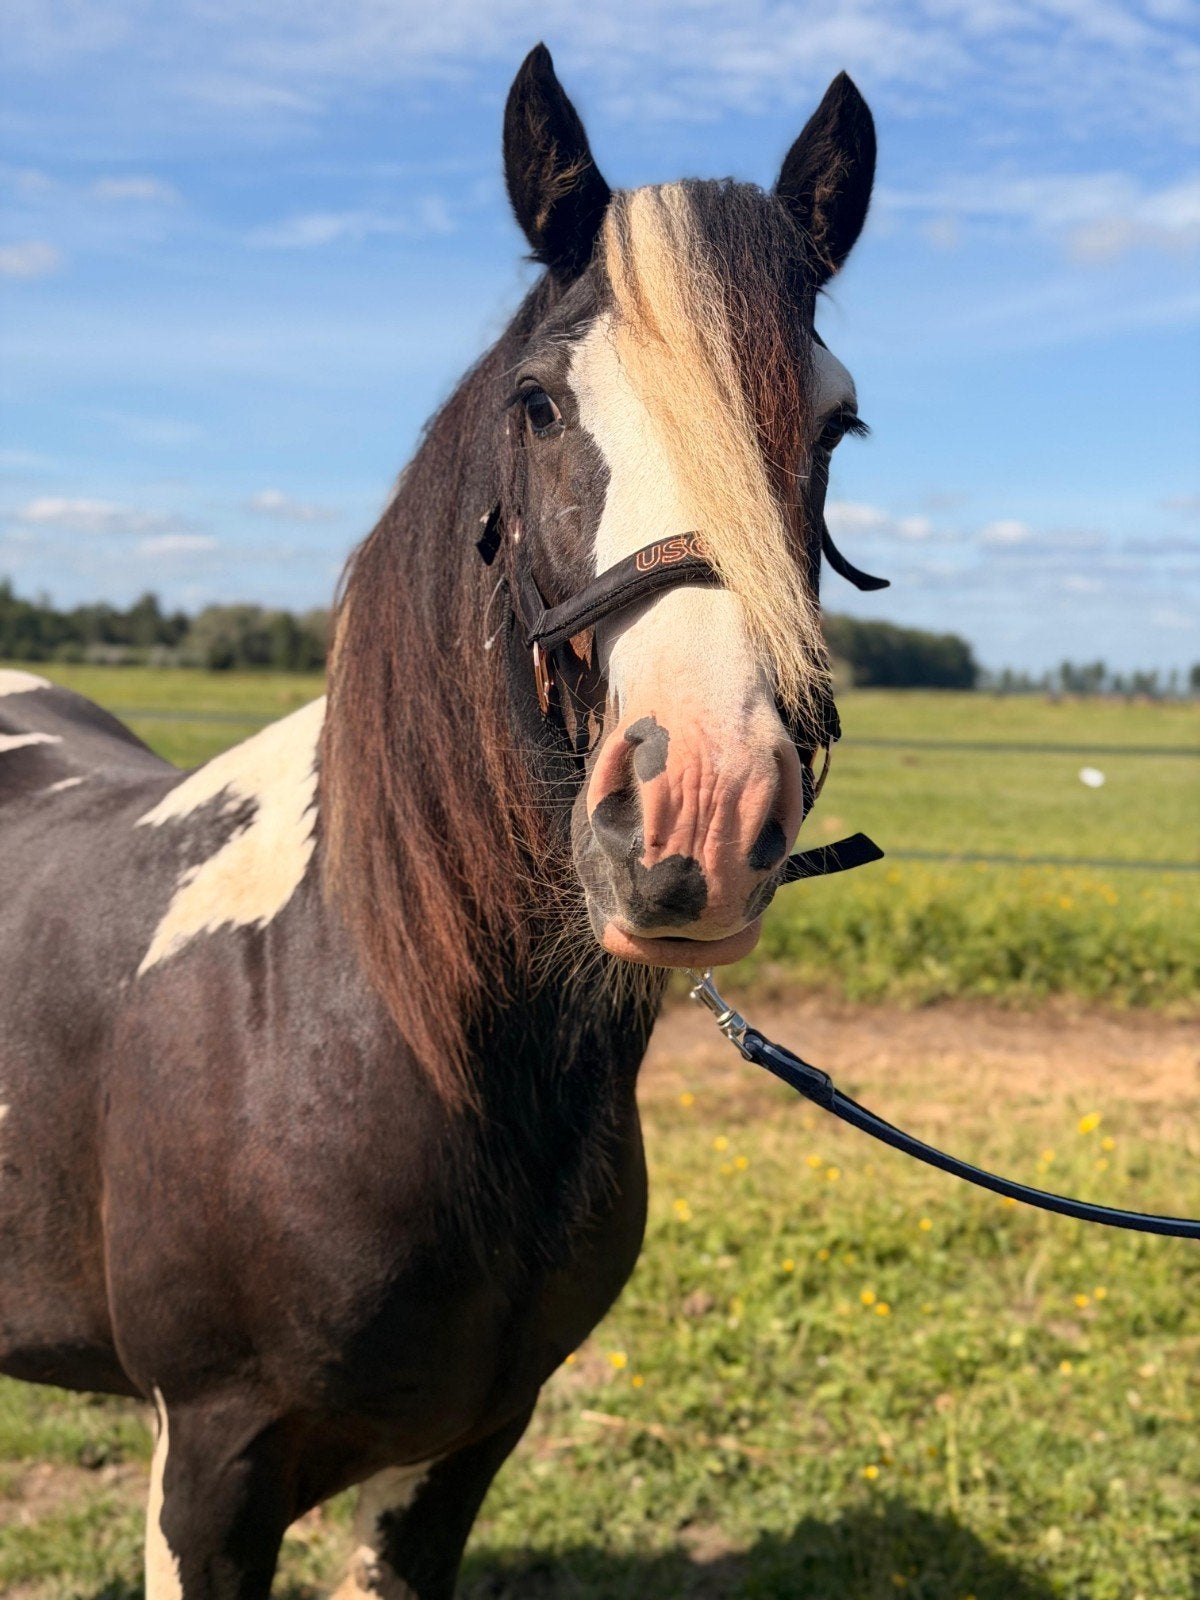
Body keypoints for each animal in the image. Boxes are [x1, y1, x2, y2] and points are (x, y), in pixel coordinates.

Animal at [0, 44, 878, 1600]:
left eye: (835, 425)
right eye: (538, 405)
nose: (699, 812)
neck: (368, 1016)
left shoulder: (462, 1451)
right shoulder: (206, 1473)